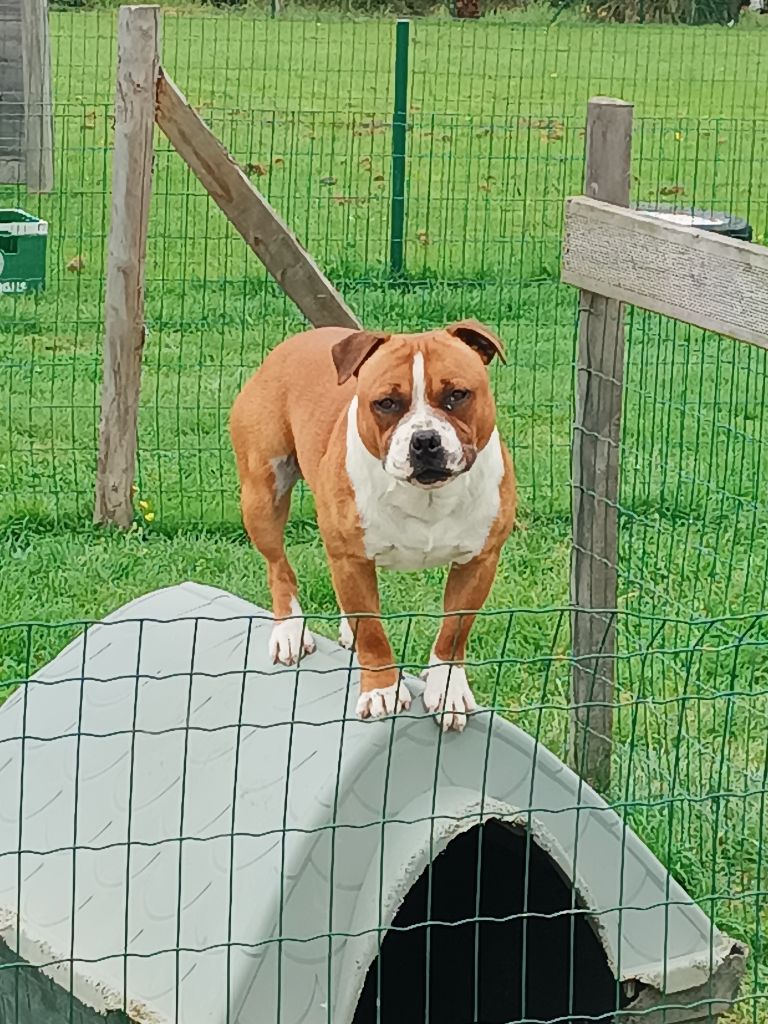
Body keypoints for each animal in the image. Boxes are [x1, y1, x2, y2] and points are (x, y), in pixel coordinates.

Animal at [228, 319, 518, 729]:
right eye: (386, 403)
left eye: (457, 395)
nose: (424, 440)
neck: (426, 495)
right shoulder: (350, 559)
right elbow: (372, 632)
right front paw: (381, 690)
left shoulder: (479, 562)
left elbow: (453, 632)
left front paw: (447, 689)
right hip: (262, 496)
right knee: (278, 567)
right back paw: (289, 631)